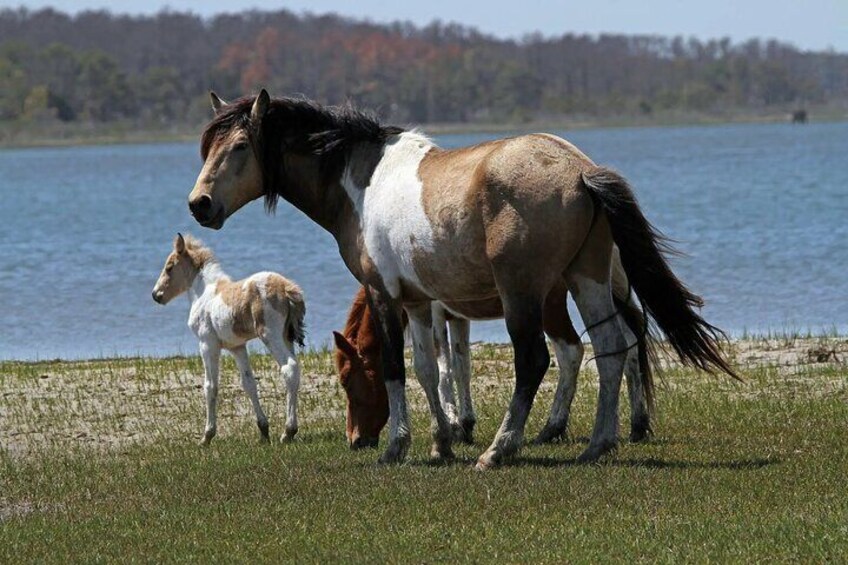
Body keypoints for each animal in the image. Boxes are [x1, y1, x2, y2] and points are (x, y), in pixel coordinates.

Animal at [152, 233, 306, 445]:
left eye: (169, 267)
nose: (155, 295)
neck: (204, 293)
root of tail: (287, 288)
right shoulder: (237, 347)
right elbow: (249, 384)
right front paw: (263, 431)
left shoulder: (207, 344)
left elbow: (210, 386)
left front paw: (207, 436)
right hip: (286, 337)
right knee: (294, 370)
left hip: (270, 335)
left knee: (289, 368)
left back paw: (288, 431)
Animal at [333, 273, 653, 449]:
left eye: (347, 381)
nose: (355, 440)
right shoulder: (457, 317)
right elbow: (461, 364)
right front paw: (464, 424)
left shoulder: (435, 314)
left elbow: (443, 368)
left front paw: (452, 423)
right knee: (629, 343)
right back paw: (638, 424)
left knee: (573, 352)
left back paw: (552, 428)